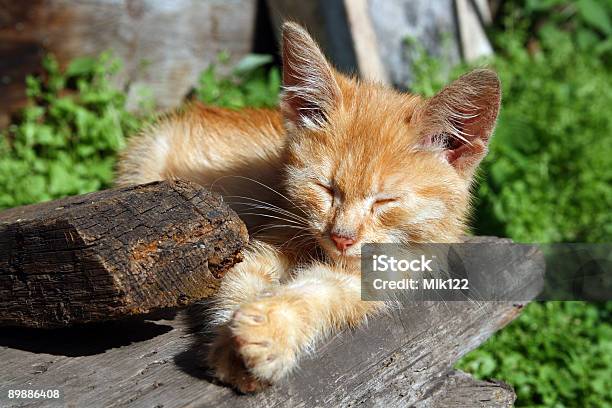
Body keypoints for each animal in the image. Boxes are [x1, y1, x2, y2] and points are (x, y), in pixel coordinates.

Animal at [116, 22, 502, 392]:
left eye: (384, 201)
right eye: (325, 188)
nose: (342, 237)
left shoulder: (388, 272)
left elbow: (323, 293)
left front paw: (269, 330)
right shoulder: (268, 235)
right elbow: (241, 279)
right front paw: (234, 342)